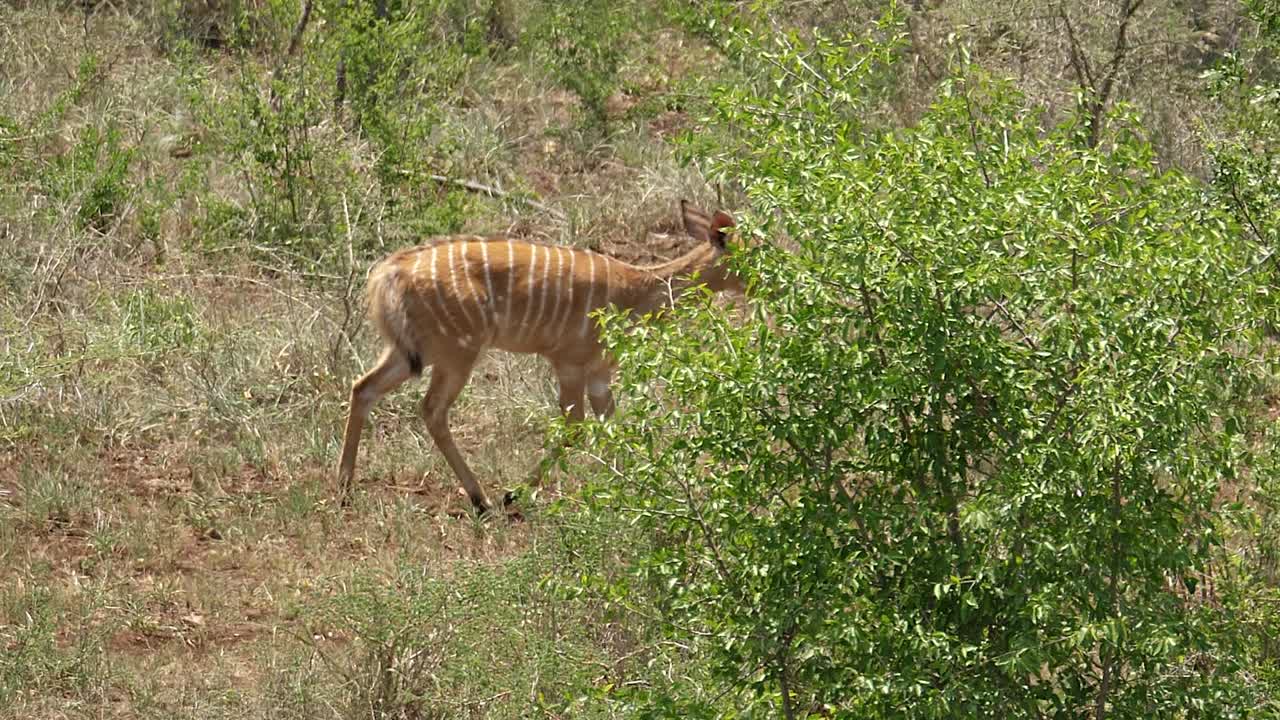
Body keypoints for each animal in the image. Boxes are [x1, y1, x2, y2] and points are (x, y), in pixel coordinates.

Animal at [337, 200, 746, 514]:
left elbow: (612, 425)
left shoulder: (600, 373)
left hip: (412, 352)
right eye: (751, 250)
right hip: (456, 352)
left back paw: (344, 486)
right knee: (432, 409)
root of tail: (388, 274)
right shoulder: (569, 362)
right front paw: (515, 493)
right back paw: (482, 499)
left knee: (363, 387)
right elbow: (575, 427)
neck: (636, 292)